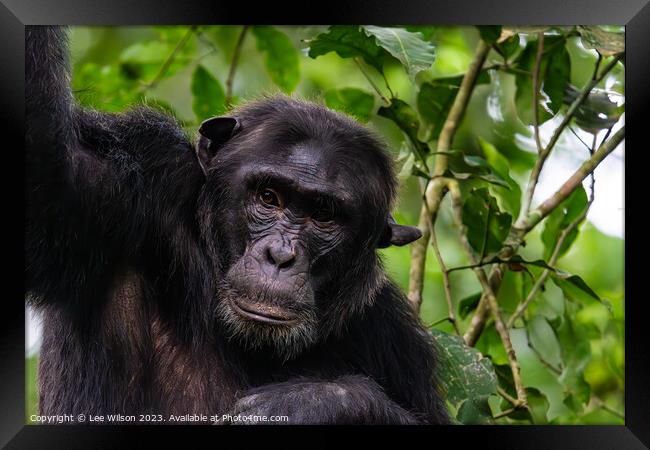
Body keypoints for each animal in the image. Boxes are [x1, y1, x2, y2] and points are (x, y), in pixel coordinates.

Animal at [26, 25, 450, 426]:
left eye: (323, 215)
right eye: (269, 197)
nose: (280, 256)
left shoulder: (394, 335)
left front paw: (315, 403)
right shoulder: (140, 173)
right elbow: (51, 179)